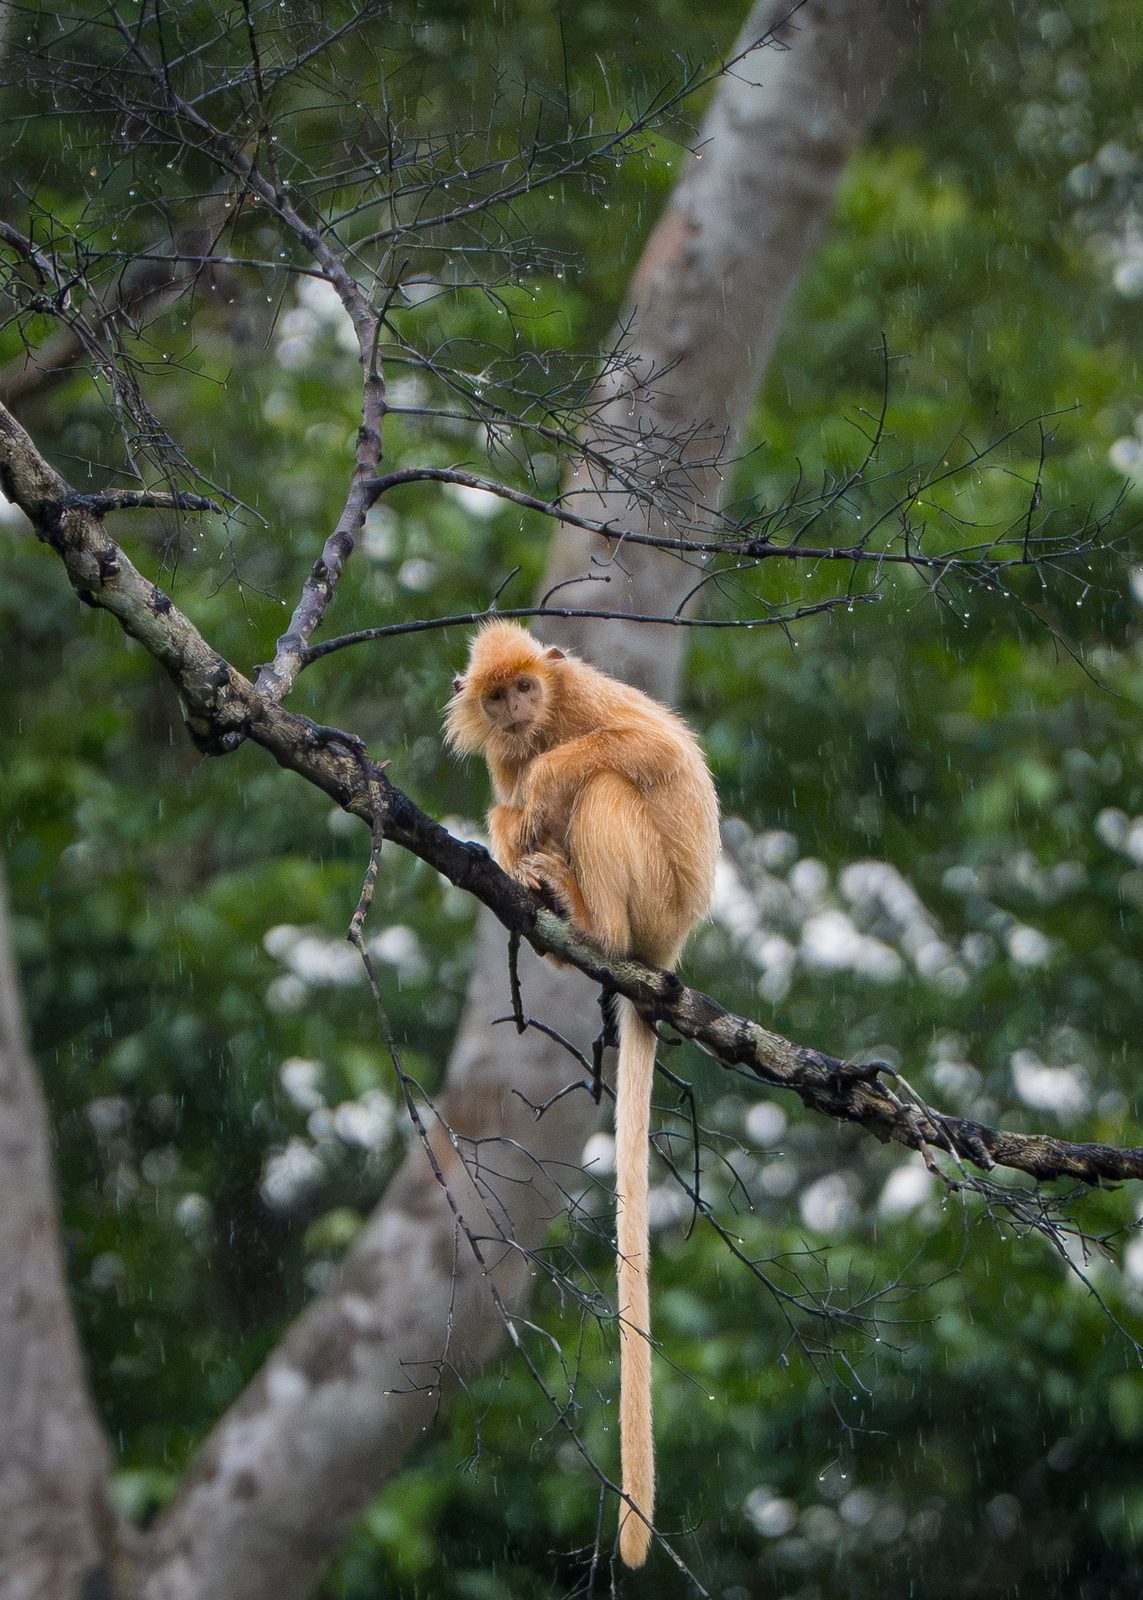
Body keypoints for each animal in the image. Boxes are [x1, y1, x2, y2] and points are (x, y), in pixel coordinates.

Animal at [445, 620, 719, 1568]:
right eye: (498, 697)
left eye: (529, 687)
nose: (516, 711)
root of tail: (665, 954)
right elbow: (508, 792)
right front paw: (513, 816)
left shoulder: (588, 700)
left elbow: (647, 748)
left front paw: (538, 787)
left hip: (656, 895)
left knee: (601, 785)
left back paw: (586, 915)